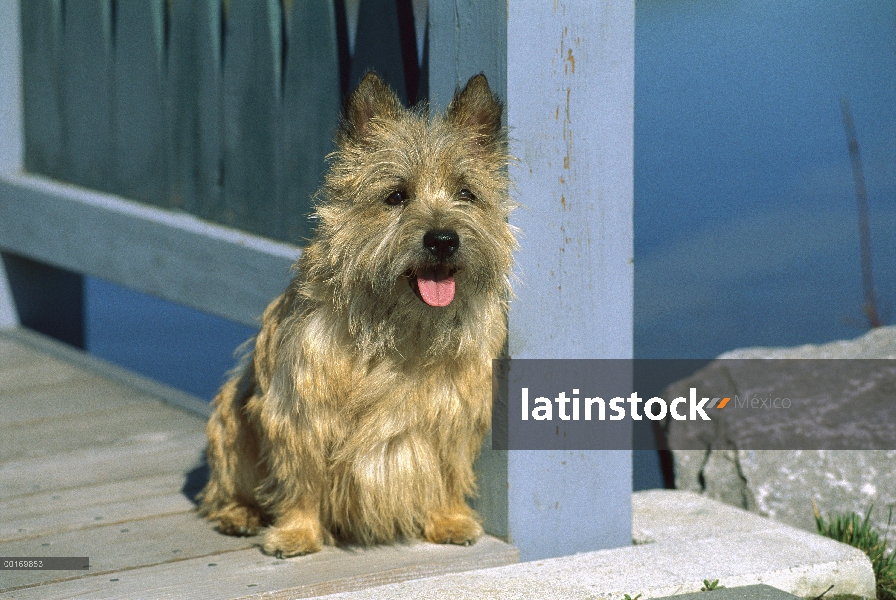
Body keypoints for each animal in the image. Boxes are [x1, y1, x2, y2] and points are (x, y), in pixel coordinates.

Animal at [197, 71, 520, 556]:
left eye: (466, 193)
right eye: (396, 195)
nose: (443, 239)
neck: (399, 327)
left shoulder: (455, 410)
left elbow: (448, 467)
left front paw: (449, 519)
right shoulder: (300, 408)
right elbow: (301, 476)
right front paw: (296, 532)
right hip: (229, 421)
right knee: (224, 487)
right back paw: (240, 515)